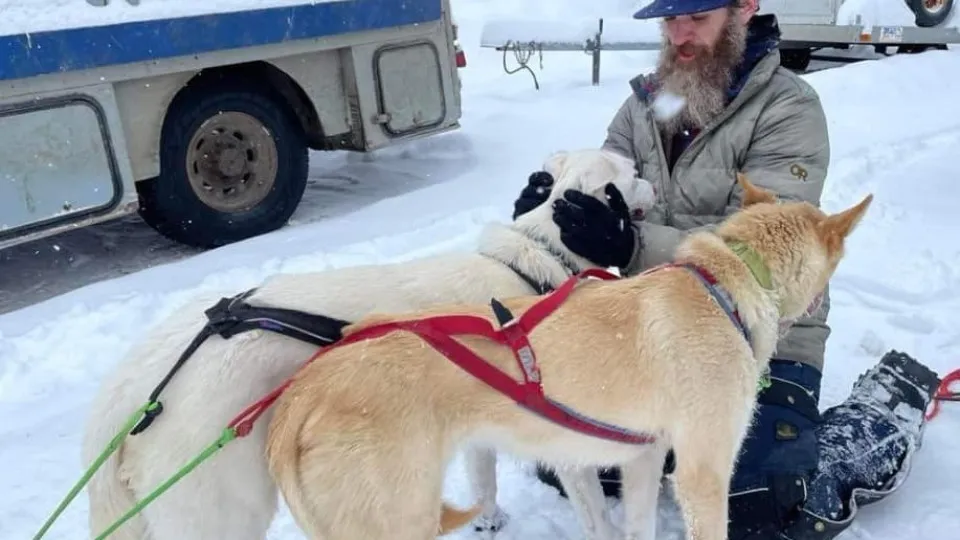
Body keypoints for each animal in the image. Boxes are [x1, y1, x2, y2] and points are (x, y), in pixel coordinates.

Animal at [82, 148, 656, 540]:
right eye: (630, 175)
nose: (651, 184)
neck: (528, 261)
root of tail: (137, 383)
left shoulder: (481, 428)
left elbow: (483, 480)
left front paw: (489, 520)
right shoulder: (566, 439)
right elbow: (595, 510)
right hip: (222, 512)